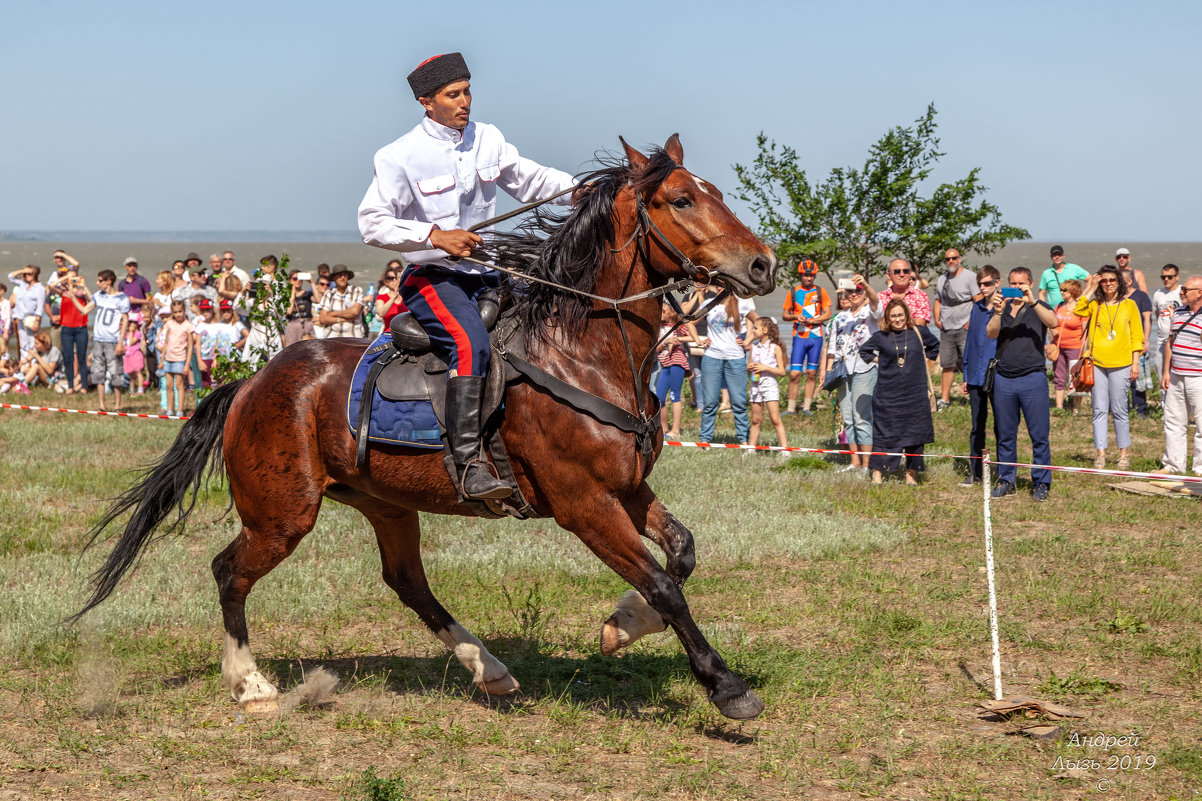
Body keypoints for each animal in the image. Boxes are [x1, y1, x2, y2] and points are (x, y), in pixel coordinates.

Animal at [82, 134, 778, 721]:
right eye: (681, 199)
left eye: (714, 190)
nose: (764, 266)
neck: (579, 353)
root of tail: (252, 383)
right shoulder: (584, 504)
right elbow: (663, 584)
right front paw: (726, 687)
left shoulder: (627, 489)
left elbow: (681, 552)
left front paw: (621, 625)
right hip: (282, 515)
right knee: (230, 571)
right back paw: (252, 685)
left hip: (385, 503)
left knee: (408, 584)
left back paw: (488, 668)